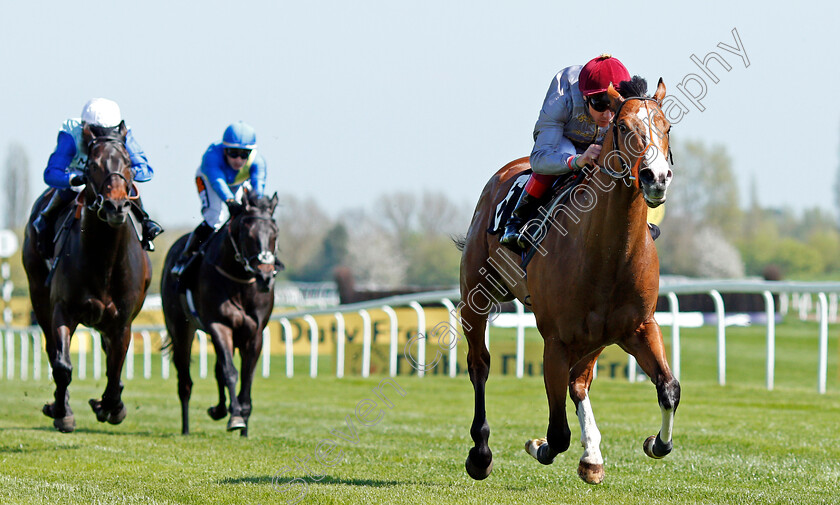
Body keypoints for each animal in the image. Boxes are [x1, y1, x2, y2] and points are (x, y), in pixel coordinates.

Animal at [22, 123, 151, 434]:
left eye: (128, 162)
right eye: (92, 164)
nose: (116, 206)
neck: (104, 260)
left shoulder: (121, 322)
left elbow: (115, 369)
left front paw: (111, 407)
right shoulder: (63, 311)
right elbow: (62, 367)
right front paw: (61, 411)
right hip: (38, 297)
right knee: (52, 350)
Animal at [161, 191, 282, 436]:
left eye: (275, 233)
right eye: (248, 233)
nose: (265, 277)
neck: (240, 282)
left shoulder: (253, 333)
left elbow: (246, 375)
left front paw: (243, 420)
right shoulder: (219, 325)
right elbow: (230, 372)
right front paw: (235, 417)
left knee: (217, 370)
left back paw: (219, 409)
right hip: (180, 328)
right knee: (185, 380)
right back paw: (186, 428)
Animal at [456, 79, 680, 484]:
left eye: (667, 126)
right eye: (623, 126)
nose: (656, 177)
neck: (608, 252)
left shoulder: (638, 327)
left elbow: (669, 388)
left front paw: (655, 443)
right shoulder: (555, 341)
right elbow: (558, 433)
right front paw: (537, 446)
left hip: (597, 337)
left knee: (579, 383)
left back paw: (592, 457)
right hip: (475, 297)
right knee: (479, 364)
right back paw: (480, 455)